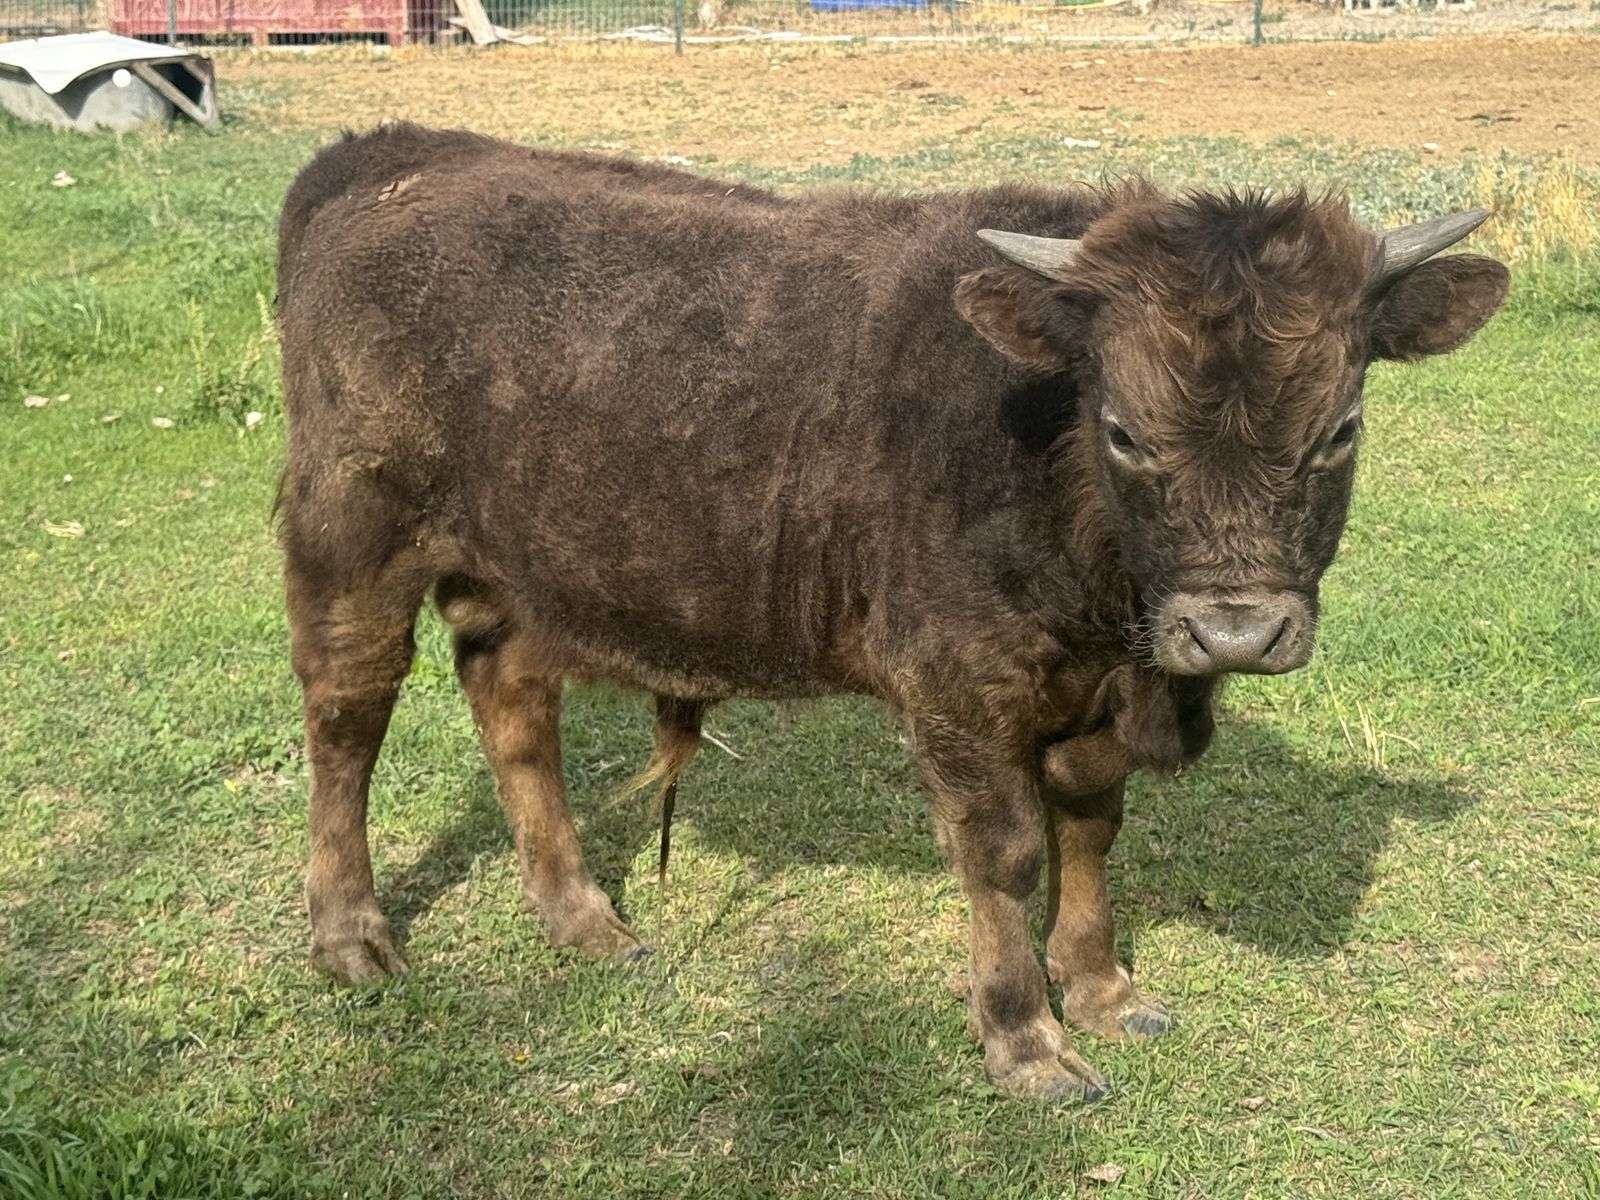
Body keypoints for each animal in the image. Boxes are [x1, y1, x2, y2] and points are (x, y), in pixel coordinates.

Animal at [274, 123, 1509, 1103]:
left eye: (1340, 427)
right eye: (1121, 429)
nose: (1236, 632)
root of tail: (391, 153)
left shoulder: (1090, 706)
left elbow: (1091, 828)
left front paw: (1105, 989)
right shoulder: (958, 691)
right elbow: (1004, 854)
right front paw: (1026, 1043)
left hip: (521, 573)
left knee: (515, 710)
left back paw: (583, 919)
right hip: (352, 537)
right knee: (347, 717)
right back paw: (350, 938)